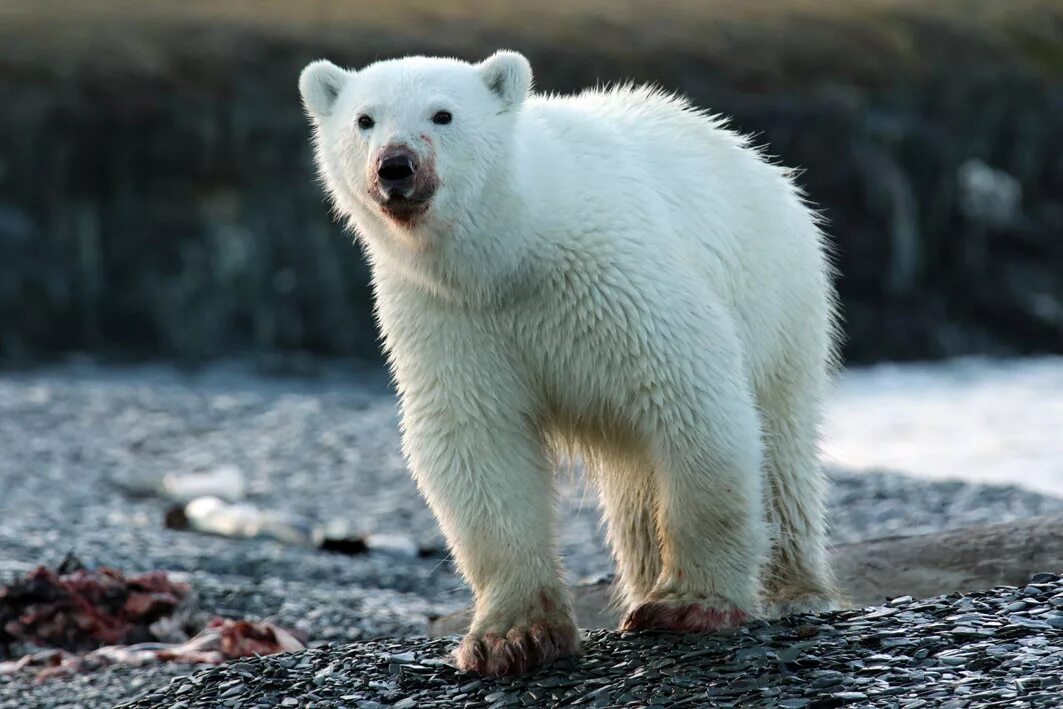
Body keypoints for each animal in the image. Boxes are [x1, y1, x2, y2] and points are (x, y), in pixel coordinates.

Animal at [299, 48, 837, 676]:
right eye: (365, 119)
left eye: (443, 114)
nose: (395, 166)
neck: (513, 252)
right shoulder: (447, 316)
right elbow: (477, 440)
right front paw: (512, 637)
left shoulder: (615, 277)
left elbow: (687, 392)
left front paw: (690, 604)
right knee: (635, 488)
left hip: (781, 301)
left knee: (780, 449)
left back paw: (792, 590)